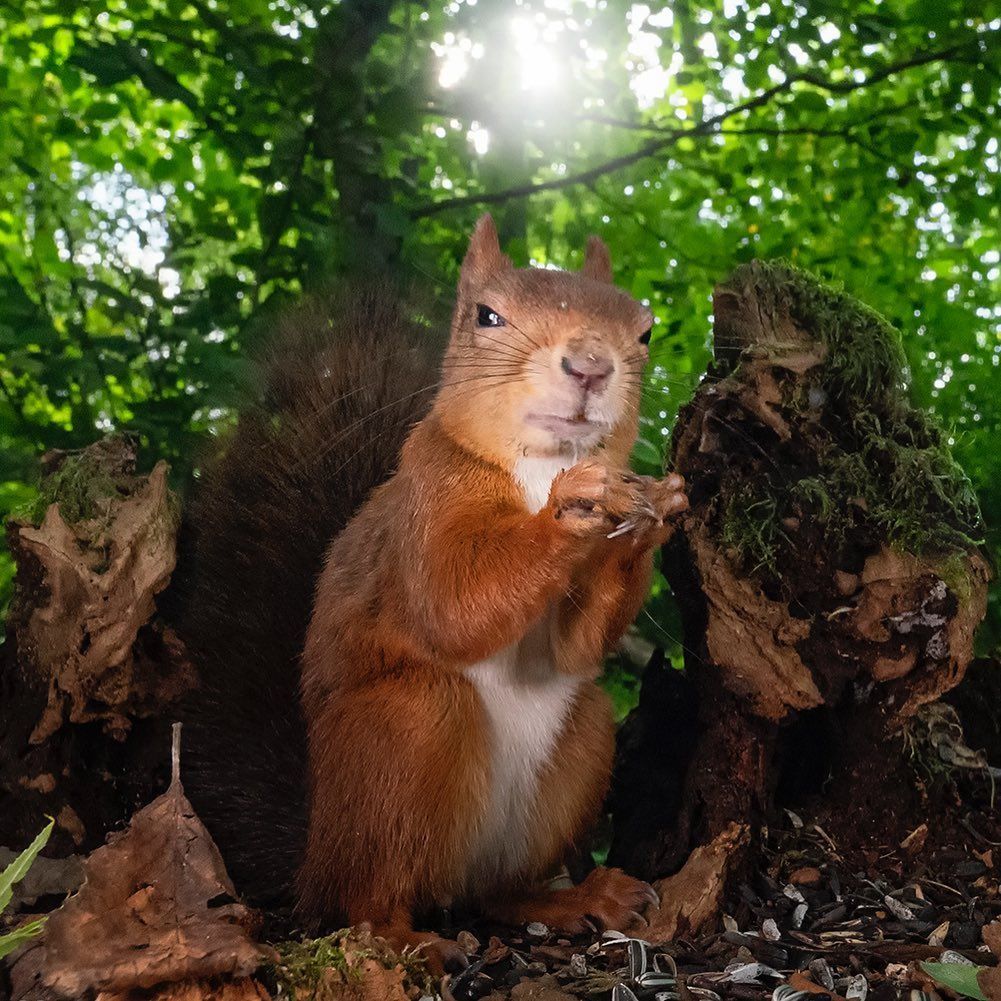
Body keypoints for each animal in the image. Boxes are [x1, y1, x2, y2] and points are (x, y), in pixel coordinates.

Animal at [178, 217, 688, 968]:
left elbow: (576, 648)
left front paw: (653, 513)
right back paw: (401, 934)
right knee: (363, 899)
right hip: (403, 734)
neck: (541, 465)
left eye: (645, 330)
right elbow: (454, 607)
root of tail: (313, 860)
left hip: (581, 744)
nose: (591, 365)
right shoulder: (423, 509)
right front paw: (575, 505)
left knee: (499, 892)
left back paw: (573, 899)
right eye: (487, 315)